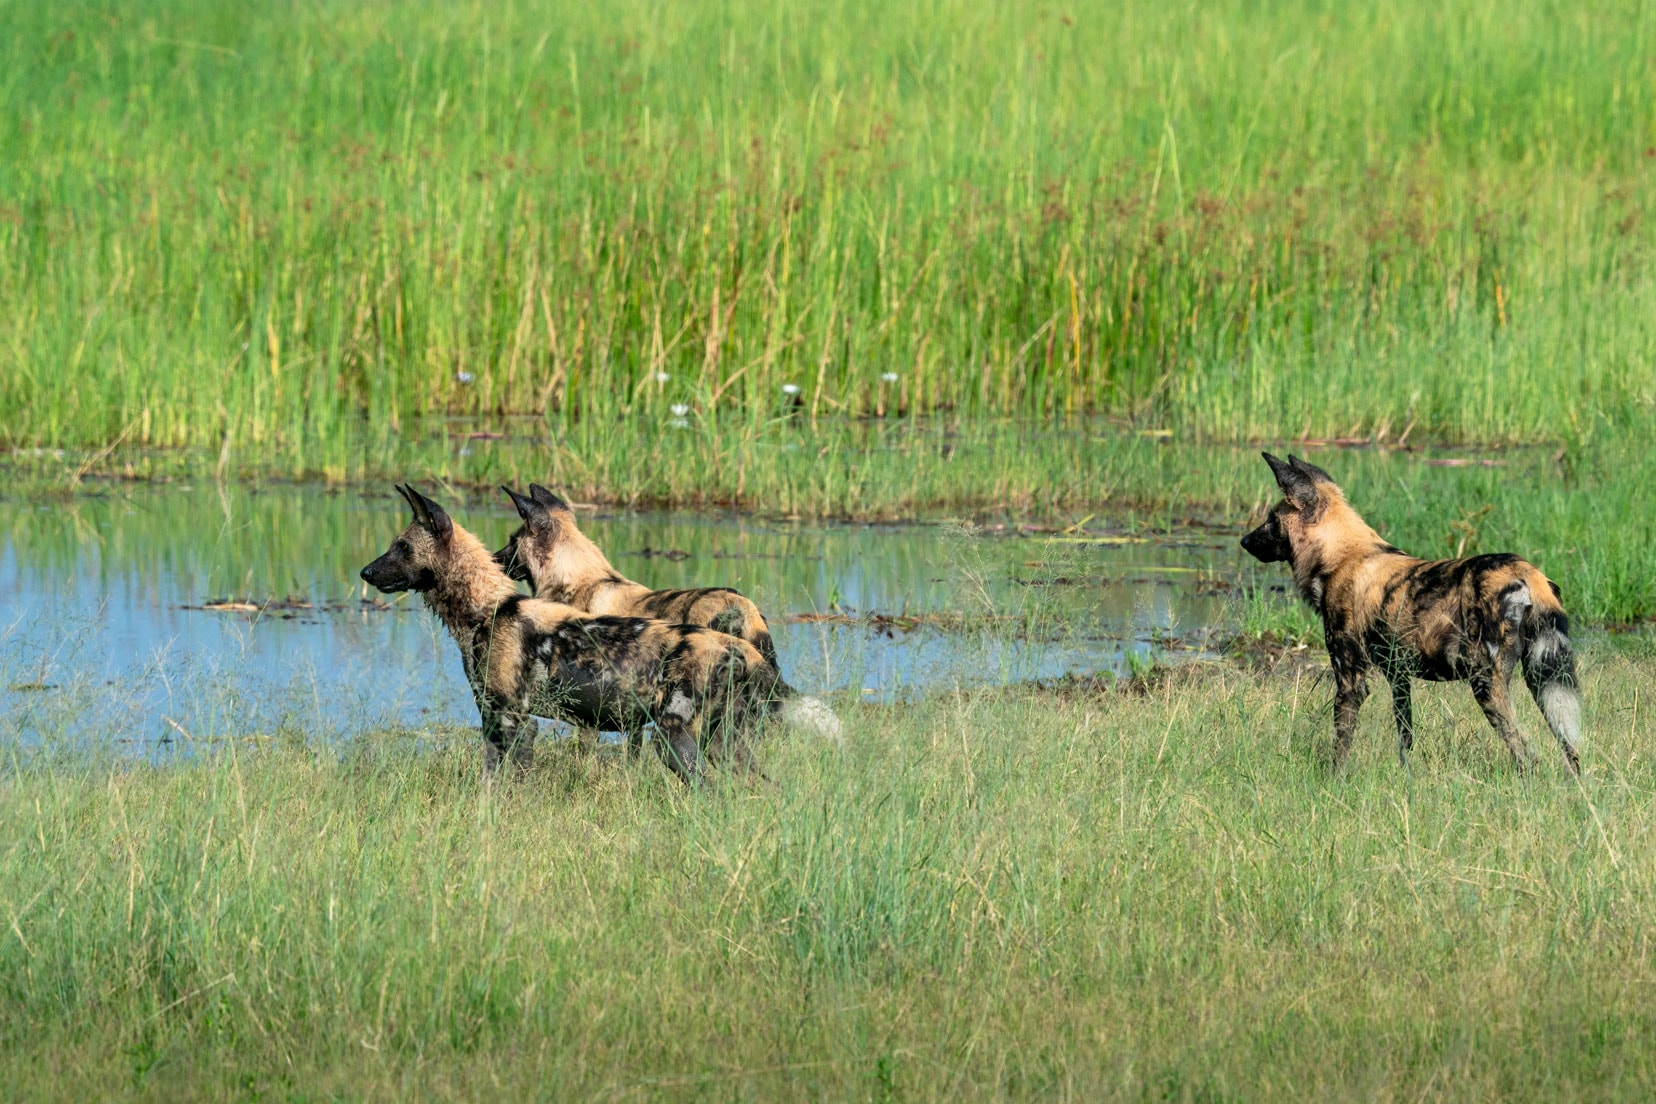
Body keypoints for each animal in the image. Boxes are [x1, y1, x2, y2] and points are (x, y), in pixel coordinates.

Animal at [361, 486, 794, 781]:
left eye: (402, 547)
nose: (364, 572)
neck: (489, 608)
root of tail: (738, 644)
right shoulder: (498, 722)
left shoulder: (514, 722)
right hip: (723, 745)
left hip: (675, 741)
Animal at [1245, 453, 1576, 774]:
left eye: (1271, 519)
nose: (1244, 540)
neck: (1342, 556)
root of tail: (1527, 570)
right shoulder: (1398, 676)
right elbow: (1406, 738)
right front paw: (1406, 778)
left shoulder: (1350, 678)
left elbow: (1341, 741)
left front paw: (1332, 779)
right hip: (1547, 679)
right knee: (1569, 747)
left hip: (1487, 683)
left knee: (1527, 753)